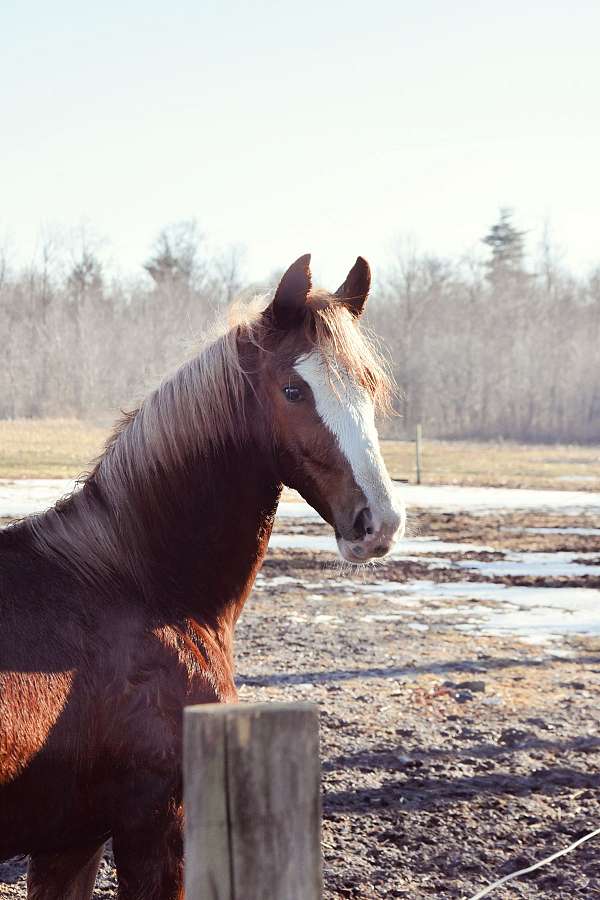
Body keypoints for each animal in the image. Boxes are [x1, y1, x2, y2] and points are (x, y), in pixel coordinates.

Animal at [0, 255, 406, 900]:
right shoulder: (157, 829)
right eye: (293, 390)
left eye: (368, 386)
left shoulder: (71, 841)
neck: (139, 589)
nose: (379, 522)